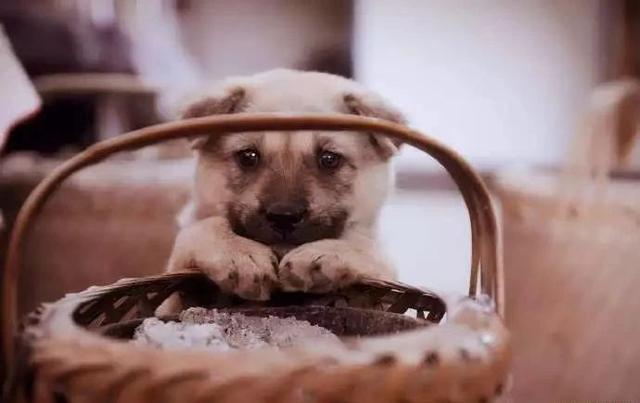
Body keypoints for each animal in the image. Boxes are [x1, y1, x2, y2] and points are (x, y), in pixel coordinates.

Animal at [164, 69, 406, 304]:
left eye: (329, 159)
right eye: (248, 157)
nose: (284, 217)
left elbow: (369, 248)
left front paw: (326, 253)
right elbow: (203, 228)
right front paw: (238, 252)